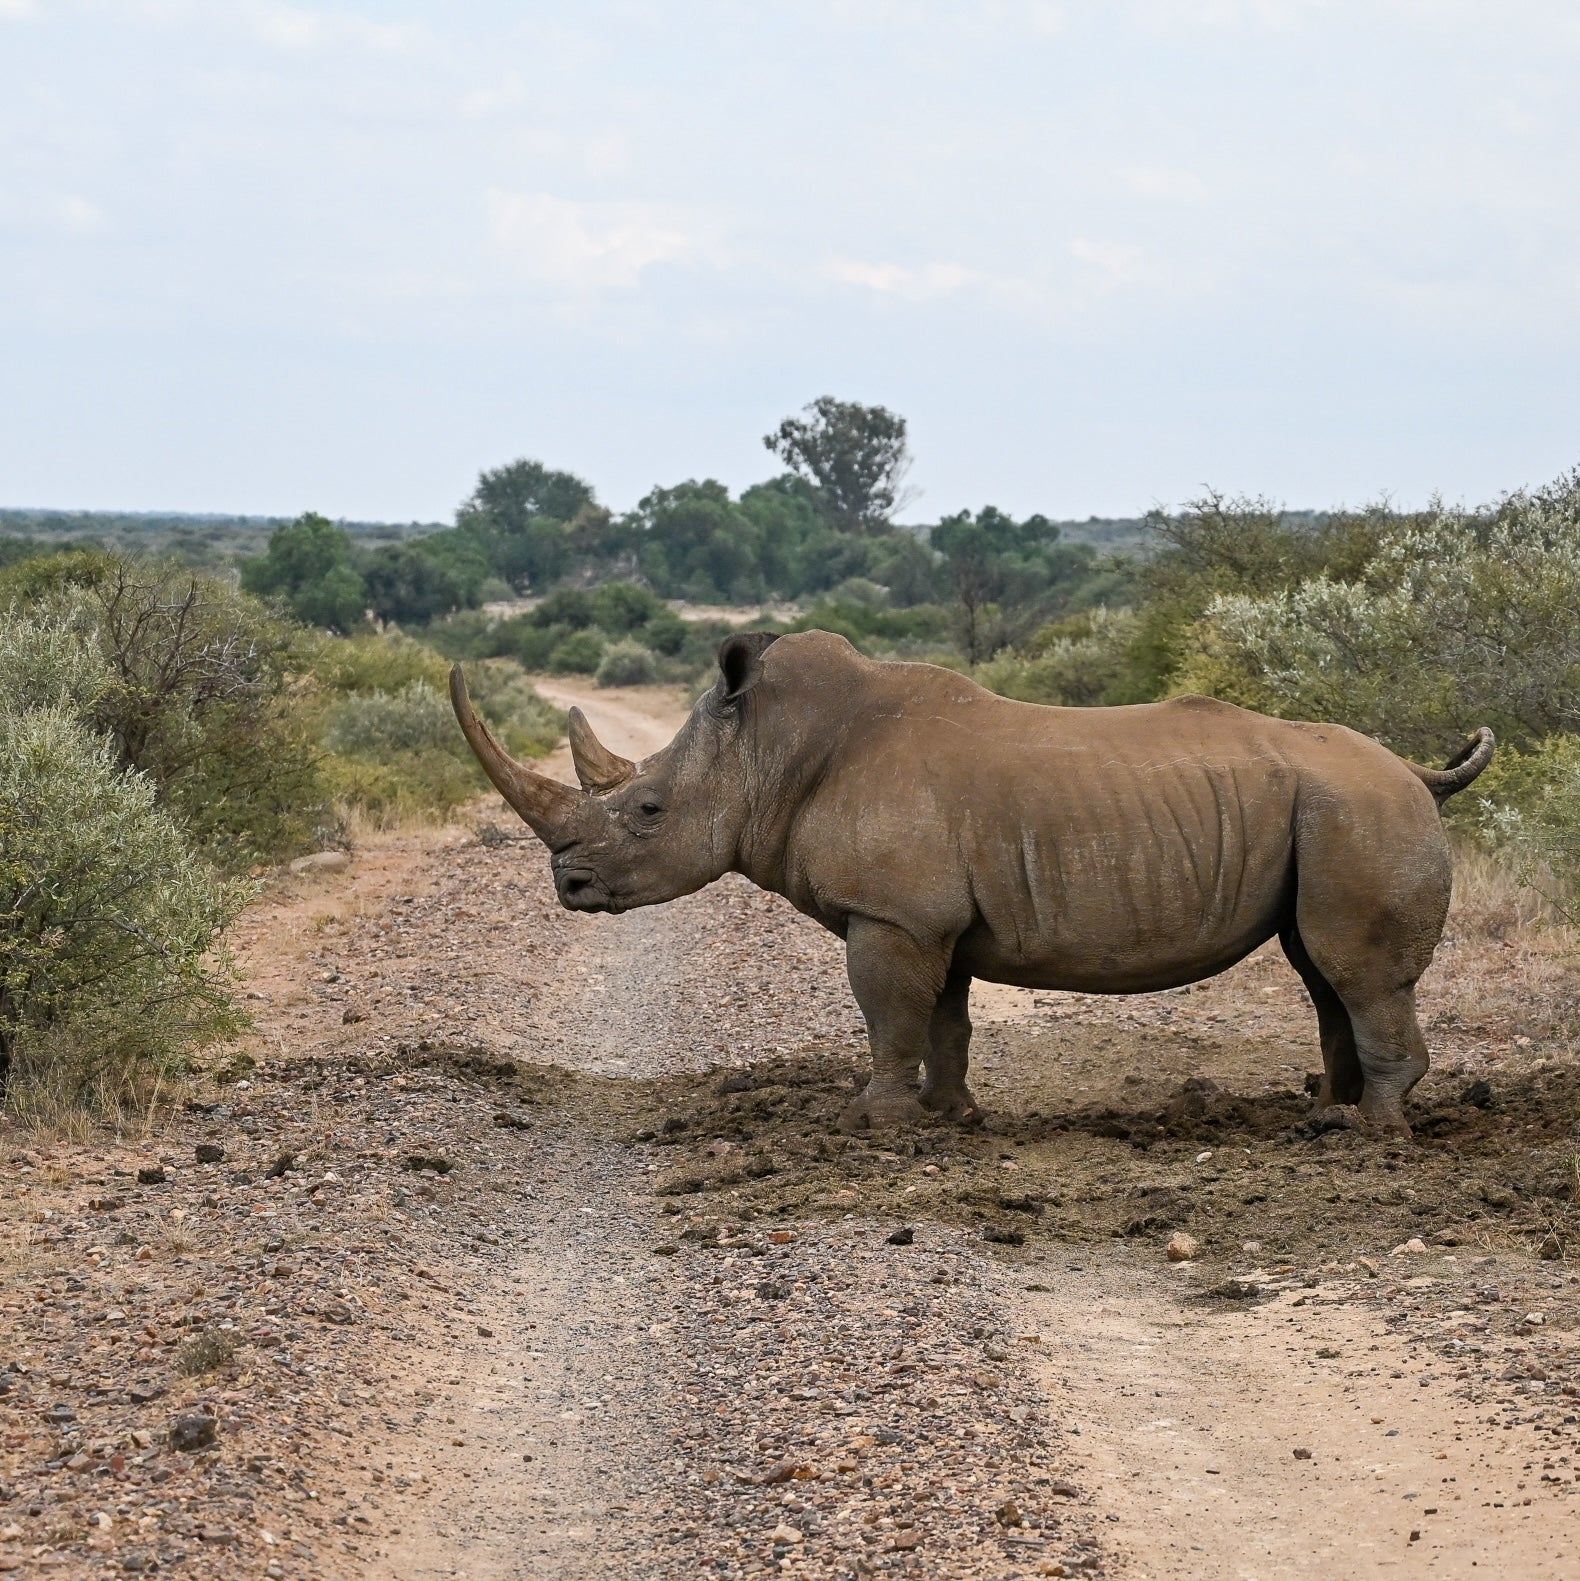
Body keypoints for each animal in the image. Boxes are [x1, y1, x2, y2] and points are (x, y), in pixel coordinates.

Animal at [450, 630, 1493, 1136]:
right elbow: (943, 1017)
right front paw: (952, 1118)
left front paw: (867, 1122)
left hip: (1360, 810)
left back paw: (1374, 1136)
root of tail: (1416, 772)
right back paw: (1326, 1118)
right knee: (1320, 969)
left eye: (649, 810)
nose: (569, 883)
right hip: (1336, 812)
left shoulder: (890, 914)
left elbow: (889, 1016)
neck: (771, 753)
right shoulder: (927, 916)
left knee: (1353, 971)